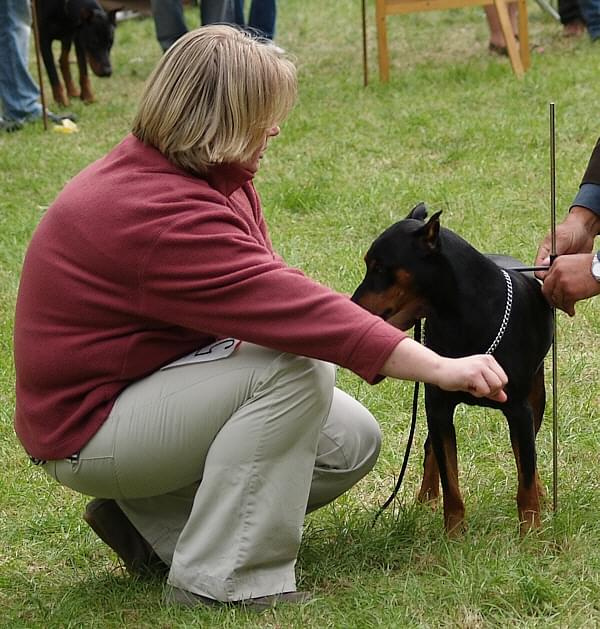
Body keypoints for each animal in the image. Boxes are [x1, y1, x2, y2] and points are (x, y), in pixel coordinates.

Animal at [352, 202, 552, 536]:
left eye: (379, 267)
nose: (350, 304)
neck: (461, 317)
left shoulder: (519, 410)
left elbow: (525, 473)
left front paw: (531, 534)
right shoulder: (439, 406)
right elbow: (451, 481)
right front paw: (454, 536)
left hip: (537, 395)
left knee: (528, 453)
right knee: (431, 447)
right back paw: (426, 497)